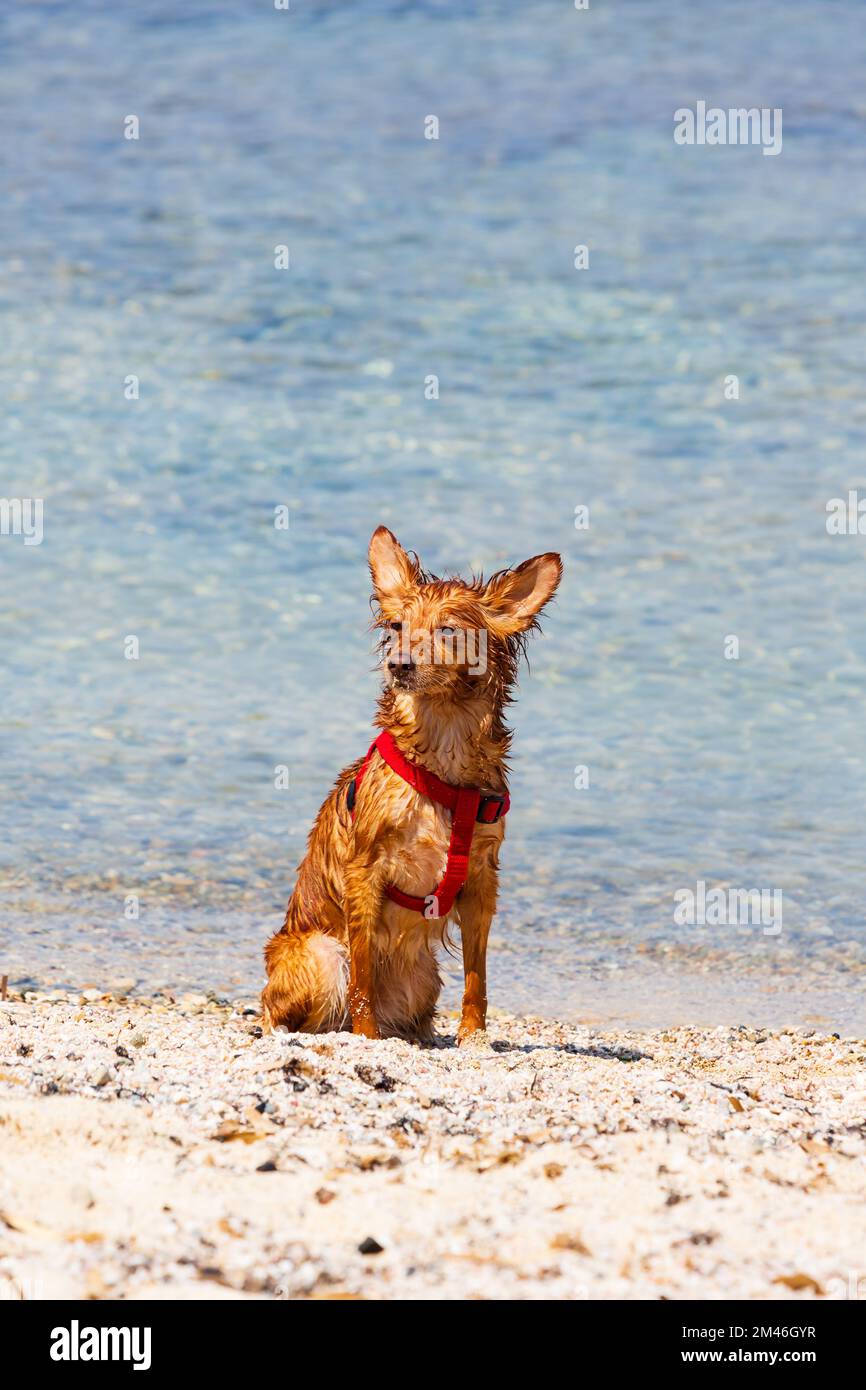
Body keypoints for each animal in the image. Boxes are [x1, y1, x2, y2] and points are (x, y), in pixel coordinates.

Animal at [262, 528, 561, 1045]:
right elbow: (362, 979)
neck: (443, 748)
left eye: (448, 630)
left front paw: (473, 1038)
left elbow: (477, 978)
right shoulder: (364, 872)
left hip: (423, 978)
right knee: (284, 1006)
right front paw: (367, 1037)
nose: (398, 665)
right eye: (397, 626)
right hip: (321, 955)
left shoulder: (481, 880)